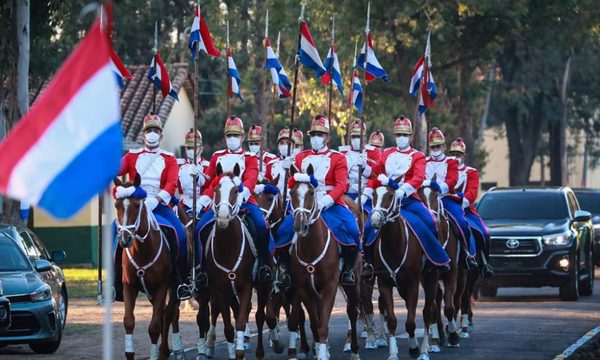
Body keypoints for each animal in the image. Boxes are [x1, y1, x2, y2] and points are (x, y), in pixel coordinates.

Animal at [113, 175, 177, 360]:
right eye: (117, 205)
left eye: (136, 205)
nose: (125, 239)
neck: (143, 250)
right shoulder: (129, 286)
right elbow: (128, 321)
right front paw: (129, 353)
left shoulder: (161, 287)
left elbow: (154, 326)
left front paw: (155, 354)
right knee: (165, 315)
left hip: (174, 287)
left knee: (169, 314)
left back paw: (166, 350)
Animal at [286, 165, 360, 360]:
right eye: (292, 192)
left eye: (311, 193)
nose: (301, 226)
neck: (312, 246)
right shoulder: (305, 288)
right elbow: (315, 323)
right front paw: (320, 350)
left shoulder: (330, 286)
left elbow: (324, 325)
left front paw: (322, 354)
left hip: (352, 280)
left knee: (352, 312)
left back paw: (354, 350)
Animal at [368, 177, 438, 360]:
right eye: (374, 195)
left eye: (391, 195)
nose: (375, 220)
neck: (394, 245)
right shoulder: (384, 283)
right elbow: (393, 321)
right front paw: (393, 353)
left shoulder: (413, 283)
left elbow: (411, 322)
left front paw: (415, 349)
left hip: (430, 279)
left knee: (428, 313)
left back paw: (425, 349)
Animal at [418, 187, 468, 350]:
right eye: (418, 196)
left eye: (435, 195)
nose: (430, 216)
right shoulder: (426, 277)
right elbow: (434, 308)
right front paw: (435, 339)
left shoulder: (452, 274)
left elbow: (449, 307)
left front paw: (453, 336)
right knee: (439, 299)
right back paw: (439, 334)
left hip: (462, 276)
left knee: (456, 299)